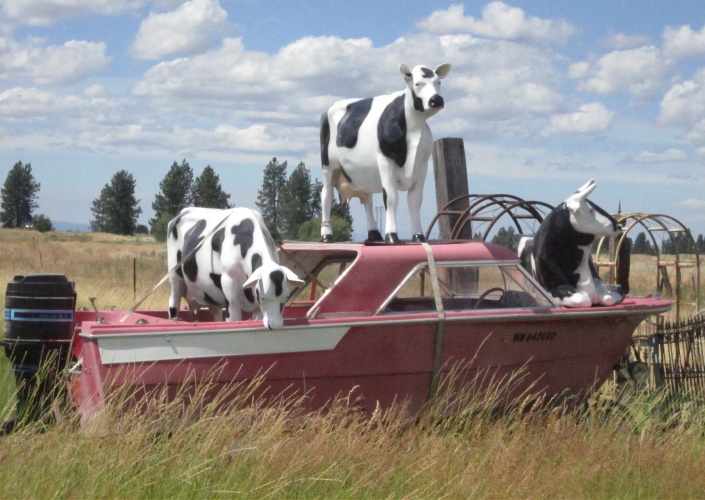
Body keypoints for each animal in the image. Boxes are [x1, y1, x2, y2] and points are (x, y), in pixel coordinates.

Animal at [166, 207, 303, 329]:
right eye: (263, 297)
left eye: (285, 297)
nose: (275, 325)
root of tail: (183, 211)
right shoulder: (228, 282)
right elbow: (234, 318)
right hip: (175, 277)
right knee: (173, 304)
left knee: (216, 312)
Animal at [320, 63, 452, 244]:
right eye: (417, 83)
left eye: (439, 82)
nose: (436, 99)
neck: (414, 128)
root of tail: (331, 107)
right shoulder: (385, 161)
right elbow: (390, 198)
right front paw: (392, 236)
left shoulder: (422, 165)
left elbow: (415, 200)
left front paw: (418, 236)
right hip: (329, 165)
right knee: (326, 196)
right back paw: (327, 235)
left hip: (363, 171)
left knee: (367, 199)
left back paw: (374, 234)